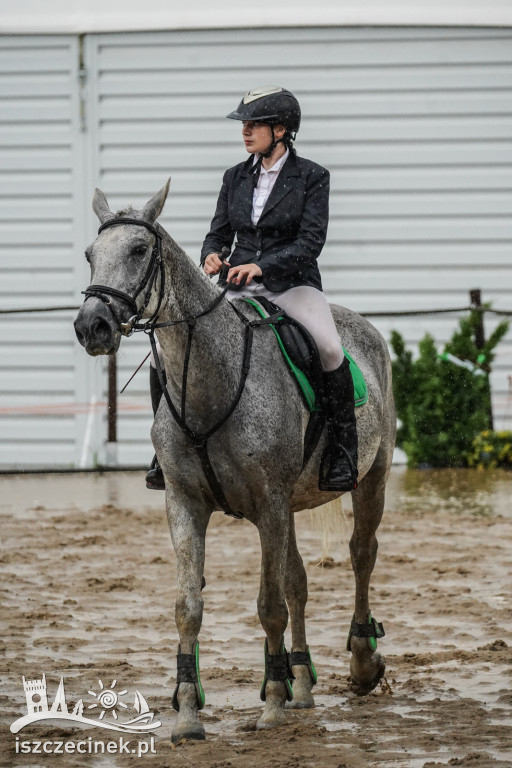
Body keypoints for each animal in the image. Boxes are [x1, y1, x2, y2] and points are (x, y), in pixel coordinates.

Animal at [74, 182, 398, 744]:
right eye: (92, 255)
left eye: (138, 250)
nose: (91, 326)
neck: (211, 381)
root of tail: (363, 327)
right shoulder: (186, 503)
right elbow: (189, 607)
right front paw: (188, 713)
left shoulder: (268, 504)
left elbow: (269, 605)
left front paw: (271, 705)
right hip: (291, 505)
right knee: (298, 581)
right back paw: (302, 683)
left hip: (369, 478)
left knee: (361, 554)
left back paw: (360, 663)